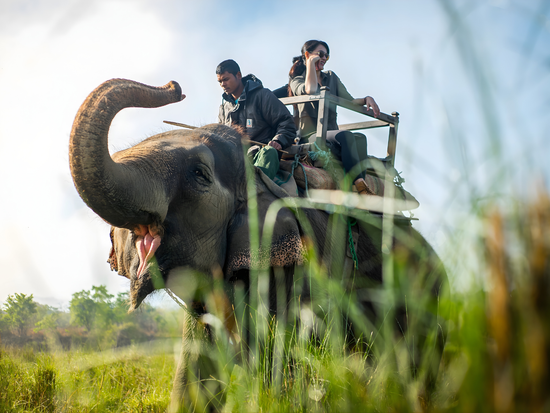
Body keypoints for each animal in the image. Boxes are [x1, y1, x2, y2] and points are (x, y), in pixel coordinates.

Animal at [69, 78, 448, 410]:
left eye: (199, 174)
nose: (174, 87)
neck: (259, 175)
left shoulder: (292, 265)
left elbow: (279, 355)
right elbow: (197, 359)